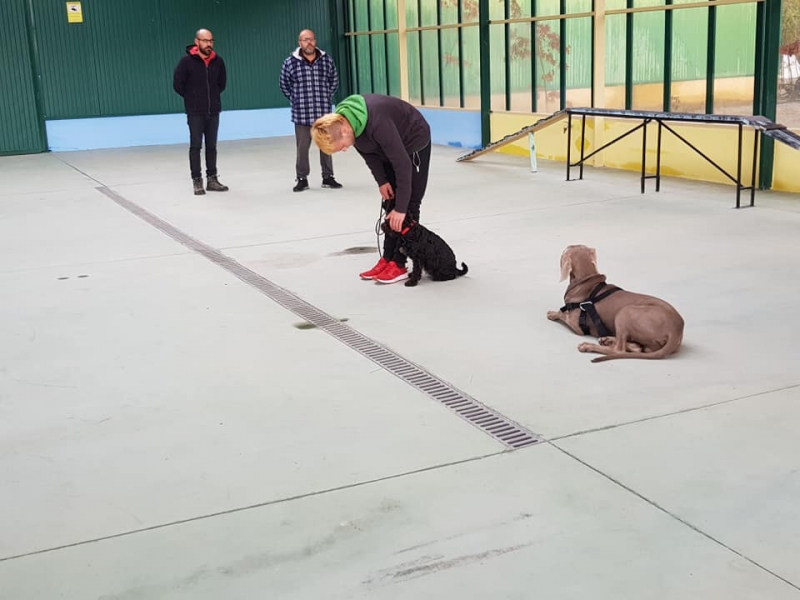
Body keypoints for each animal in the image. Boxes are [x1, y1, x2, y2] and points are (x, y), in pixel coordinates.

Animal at [548, 244, 684, 360]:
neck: (586, 281)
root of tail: (675, 331)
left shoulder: (576, 326)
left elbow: (562, 313)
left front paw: (552, 313)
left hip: (625, 312)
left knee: (619, 349)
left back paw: (588, 346)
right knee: (639, 348)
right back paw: (608, 339)